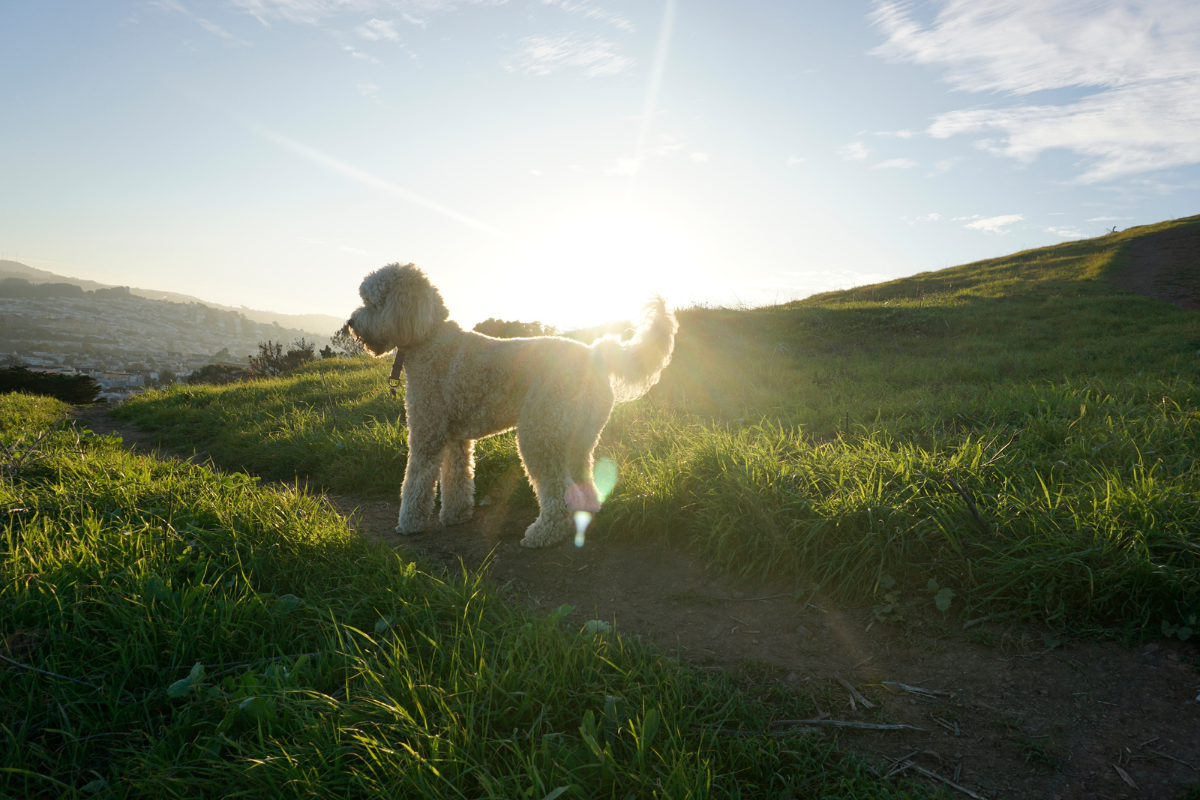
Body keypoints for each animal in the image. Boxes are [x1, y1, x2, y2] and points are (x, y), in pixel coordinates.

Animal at [348, 266, 676, 546]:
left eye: (373, 302)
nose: (351, 323)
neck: (430, 338)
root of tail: (594, 353)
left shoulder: (427, 432)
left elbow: (416, 482)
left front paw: (409, 523)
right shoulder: (455, 438)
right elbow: (457, 479)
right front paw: (456, 516)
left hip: (540, 433)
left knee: (557, 492)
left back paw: (544, 534)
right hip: (578, 436)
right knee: (582, 481)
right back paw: (585, 514)